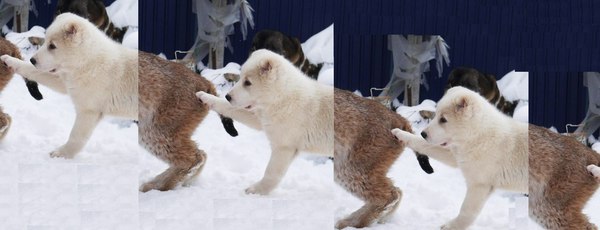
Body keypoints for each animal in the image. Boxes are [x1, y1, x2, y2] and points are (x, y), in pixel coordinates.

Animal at [0, 13, 137, 158]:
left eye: (52, 46)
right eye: (46, 41)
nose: (32, 60)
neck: (87, 61)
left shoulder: (88, 111)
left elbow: (76, 136)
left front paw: (61, 154)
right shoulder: (64, 80)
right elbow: (32, 71)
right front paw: (10, 60)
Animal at [394, 86, 524, 230]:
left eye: (443, 120)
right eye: (436, 115)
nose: (423, 134)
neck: (478, 134)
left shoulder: (479, 185)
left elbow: (466, 210)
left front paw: (451, 226)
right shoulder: (454, 155)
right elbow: (422, 144)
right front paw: (400, 133)